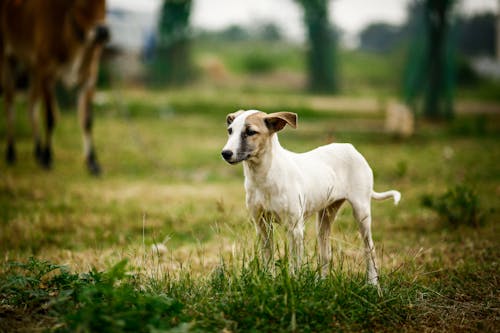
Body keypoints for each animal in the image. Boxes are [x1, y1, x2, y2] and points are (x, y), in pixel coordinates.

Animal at [0, 0, 109, 175]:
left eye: (105, 3)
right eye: (81, 3)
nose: (103, 32)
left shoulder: (90, 77)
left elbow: (87, 120)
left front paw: (93, 163)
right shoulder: (47, 72)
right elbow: (51, 117)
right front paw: (48, 158)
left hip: (34, 70)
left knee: (31, 105)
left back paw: (37, 151)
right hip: (7, 60)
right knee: (10, 105)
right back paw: (11, 153)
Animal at [221, 110, 400, 284]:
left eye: (250, 132)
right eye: (230, 131)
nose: (225, 153)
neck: (265, 175)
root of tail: (350, 147)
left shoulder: (295, 228)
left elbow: (295, 263)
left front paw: (294, 283)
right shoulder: (262, 226)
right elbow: (268, 259)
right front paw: (269, 280)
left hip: (361, 212)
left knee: (370, 249)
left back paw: (373, 283)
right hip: (324, 219)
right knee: (326, 254)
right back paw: (322, 283)